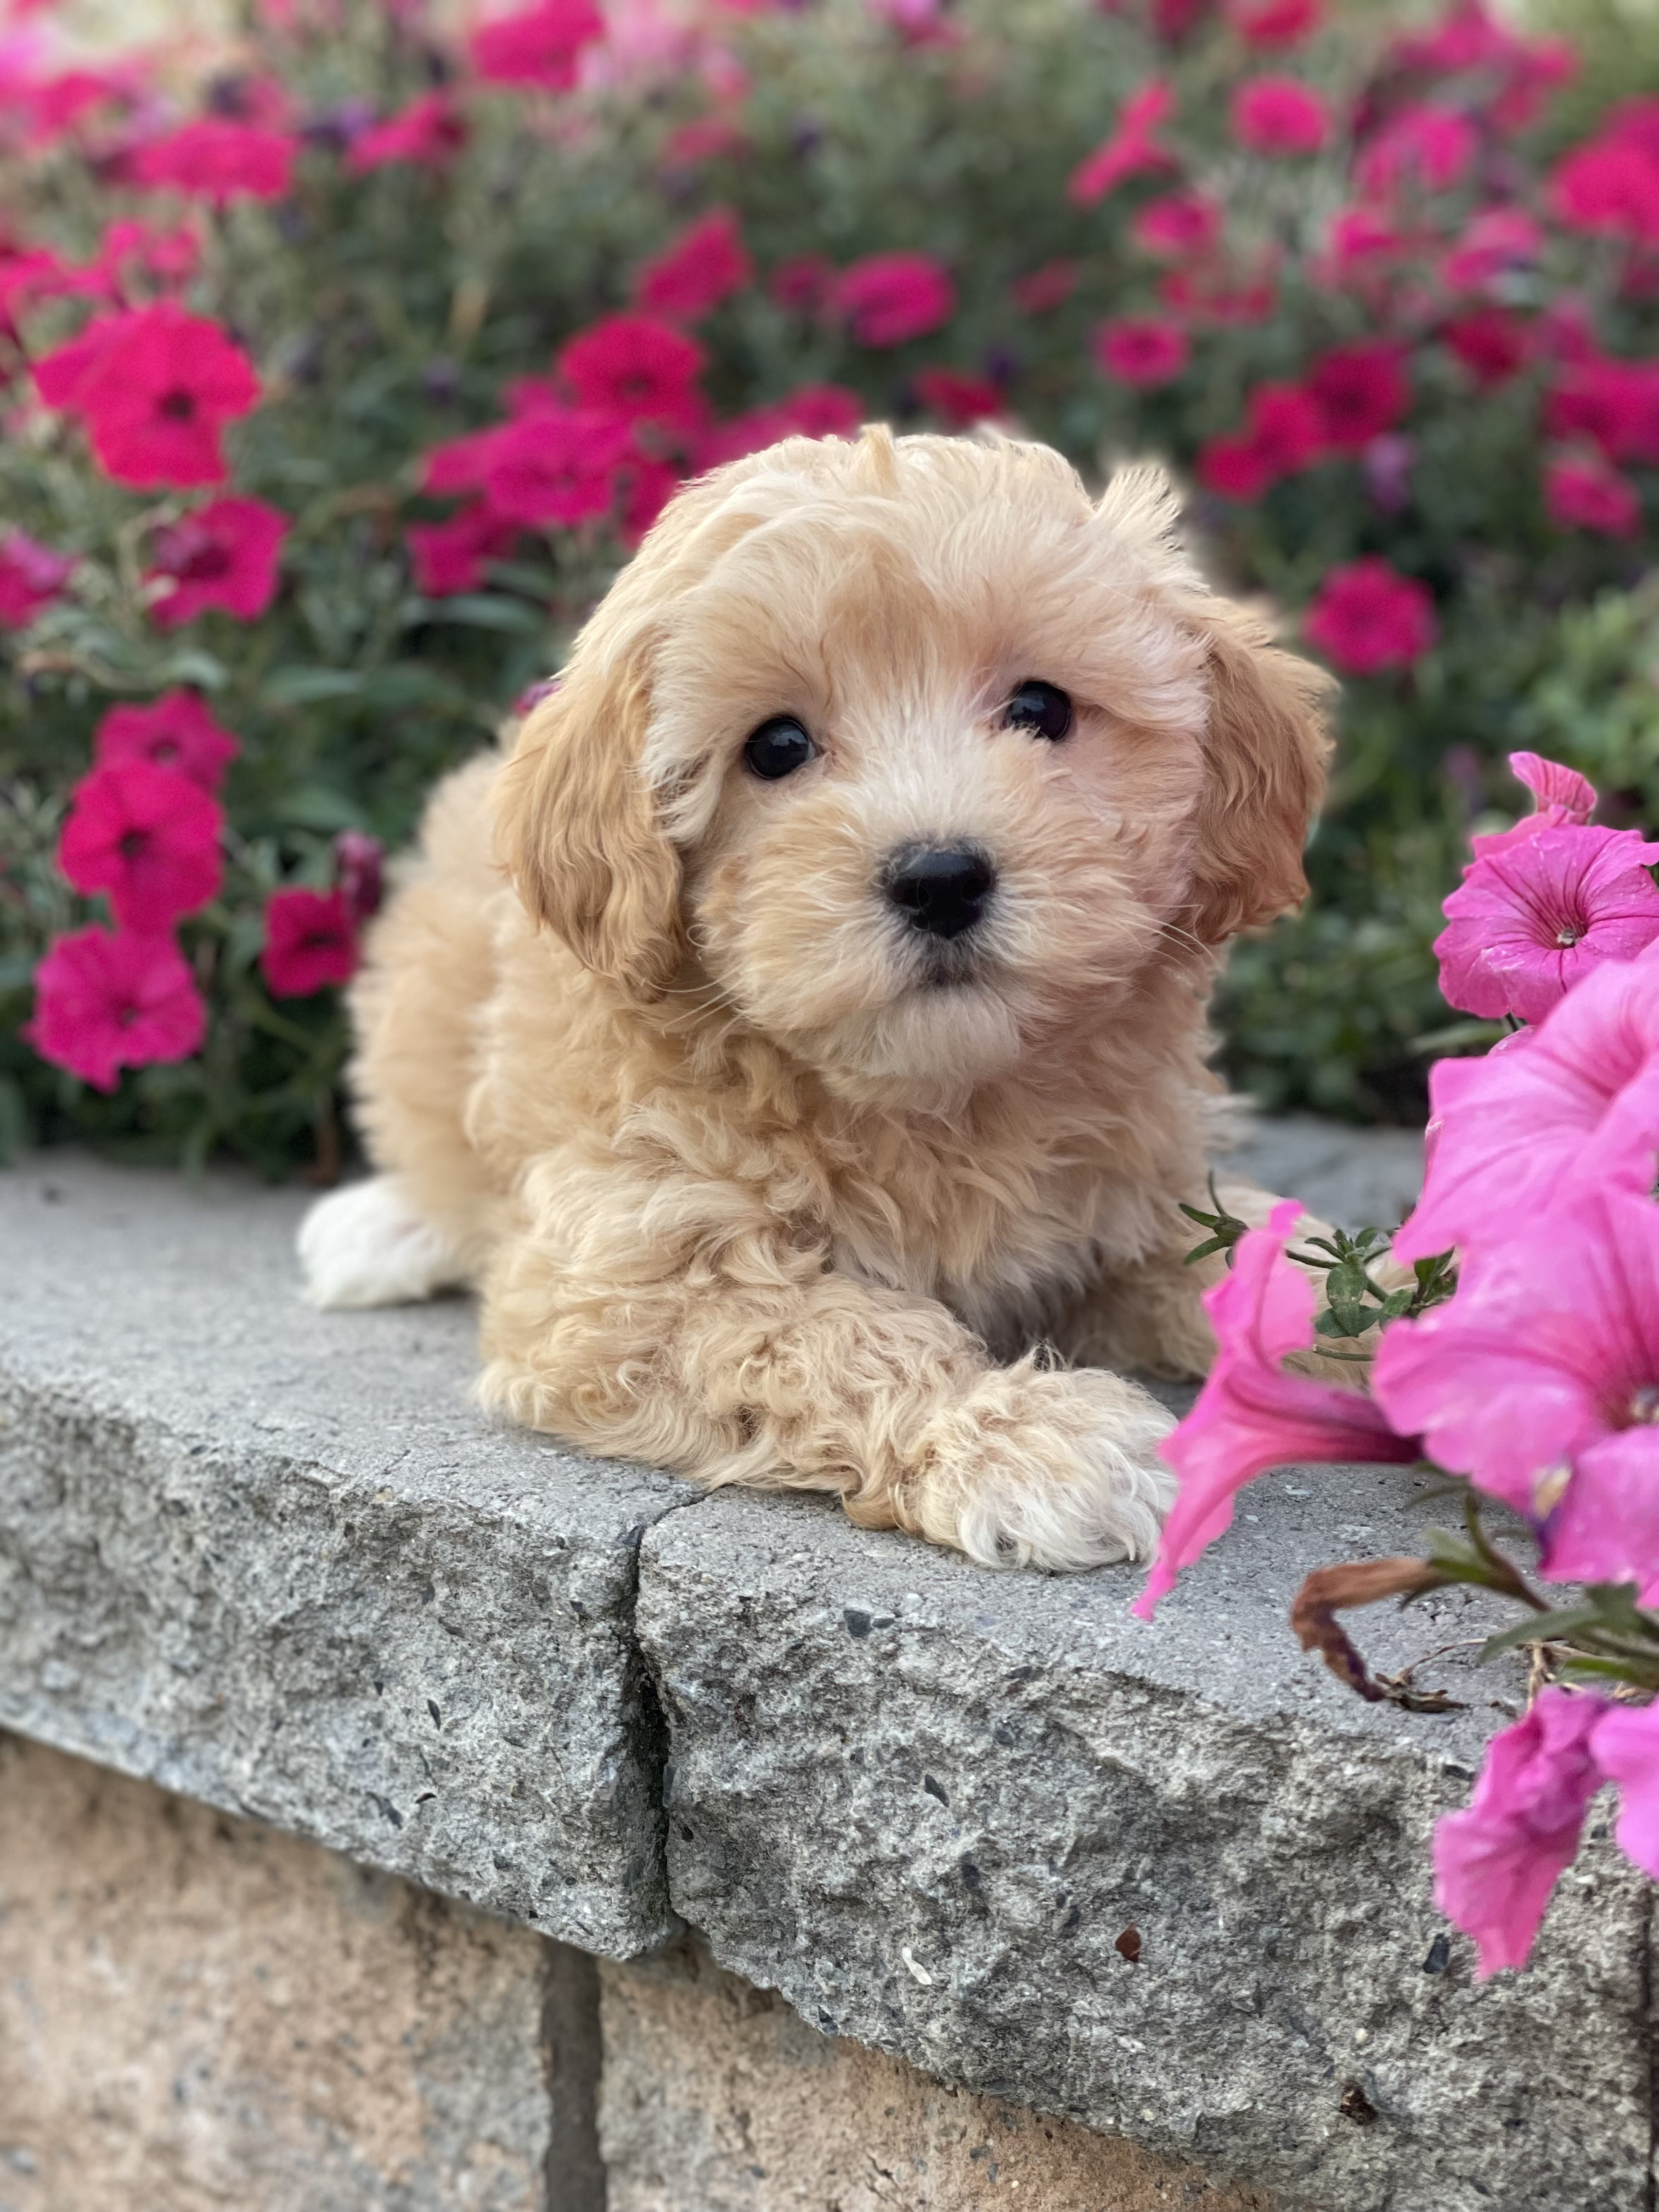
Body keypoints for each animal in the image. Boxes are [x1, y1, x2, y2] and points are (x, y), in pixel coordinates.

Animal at [303, 427, 1336, 1575]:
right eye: (776, 747)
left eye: (1040, 709)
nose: (938, 878)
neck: (939, 1099)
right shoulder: (624, 1281)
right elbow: (837, 1333)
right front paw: (1027, 1438)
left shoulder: (1132, 1193)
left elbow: (1260, 1265)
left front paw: (1409, 1320)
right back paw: (380, 1229)